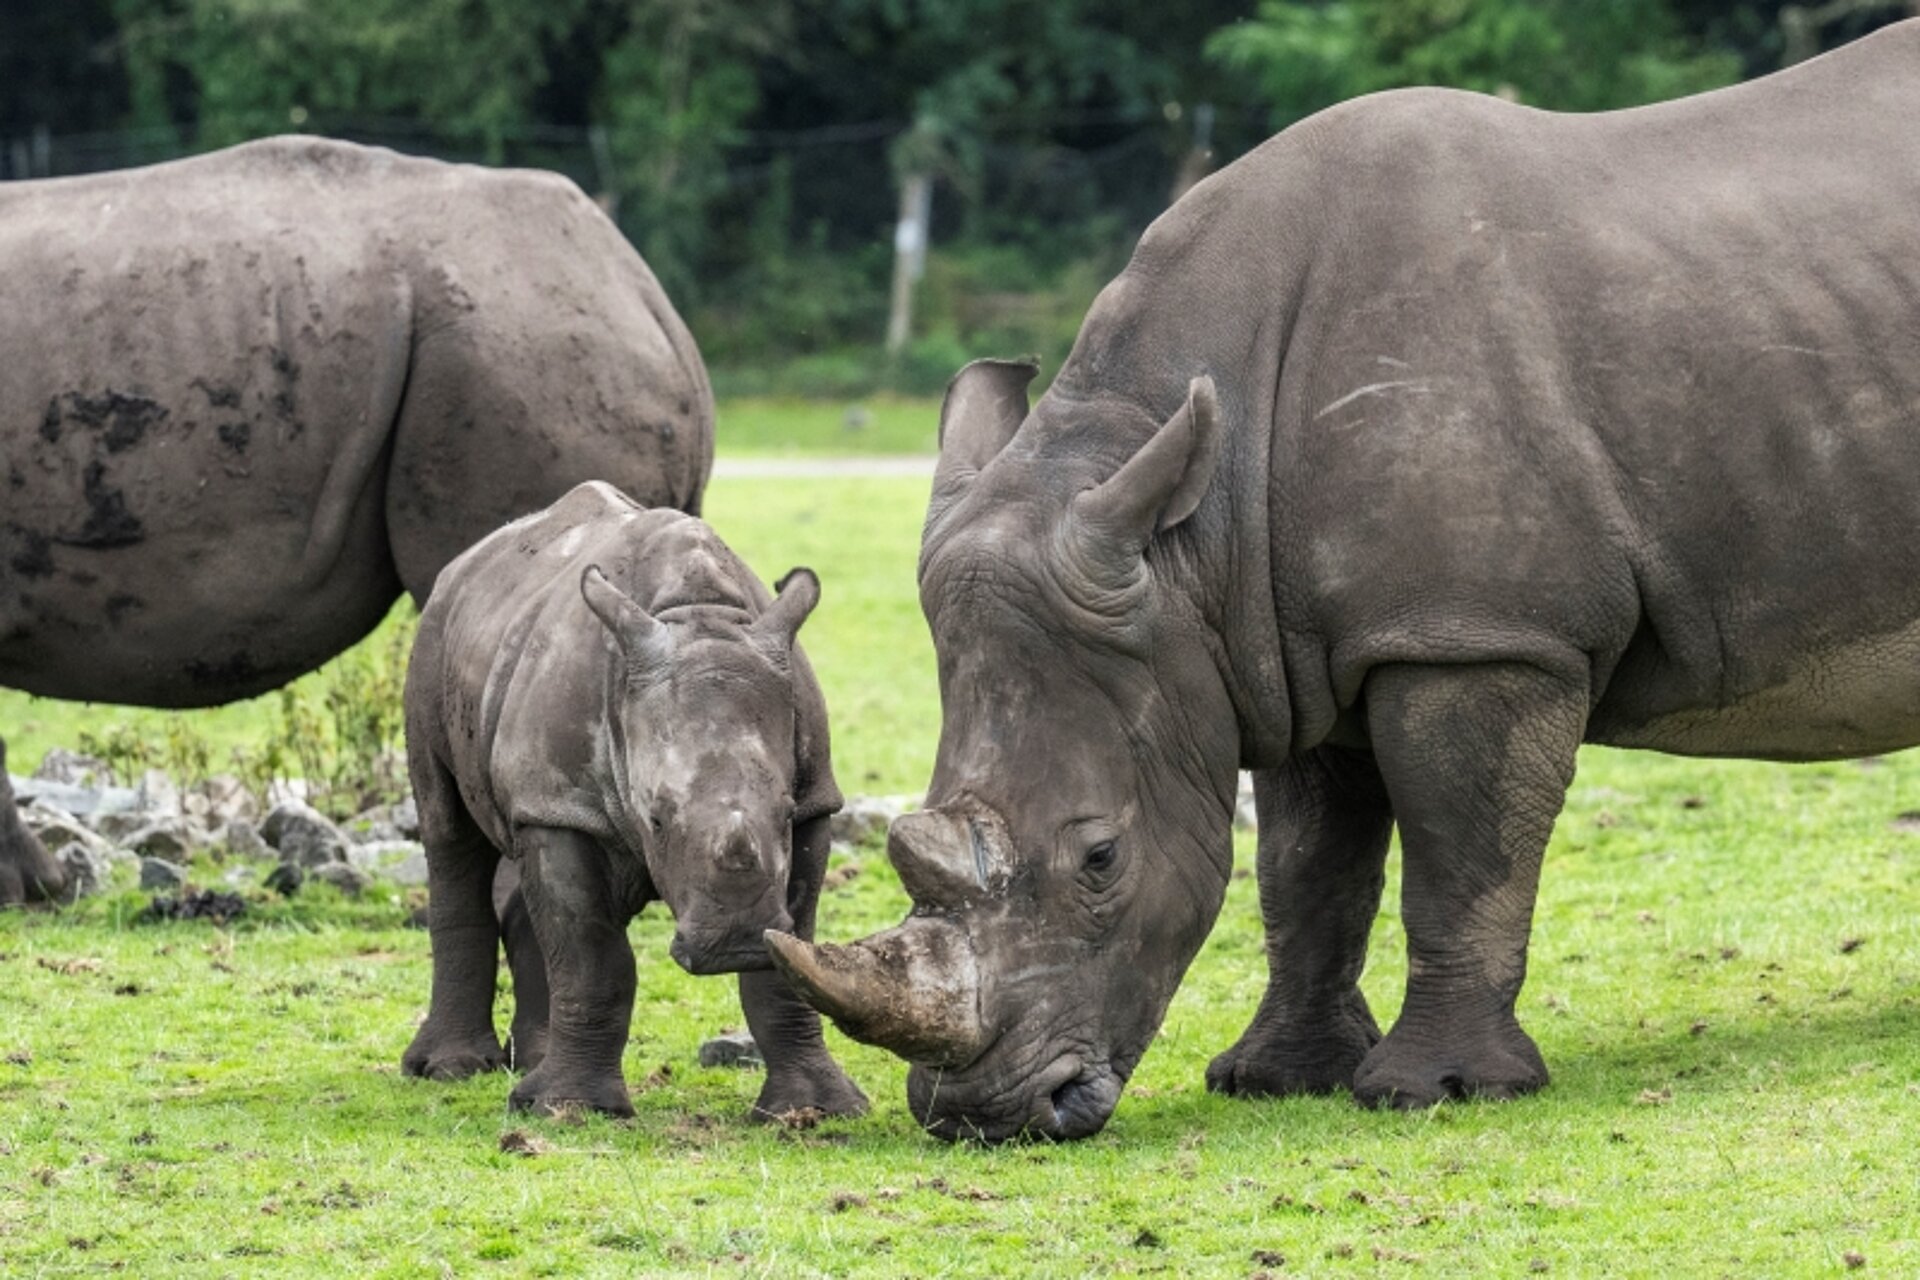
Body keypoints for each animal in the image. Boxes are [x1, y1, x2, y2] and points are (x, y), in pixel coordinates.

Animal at [403, 481, 866, 1121]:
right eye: (657, 818)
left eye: (784, 813)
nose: (735, 943)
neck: (697, 614)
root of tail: (467, 562)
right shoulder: (563, 805)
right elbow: (593, 958)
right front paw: (571, 1110)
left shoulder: (817, 800)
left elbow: (789, 959)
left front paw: (819, 1109)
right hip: (432, 641)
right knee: (449, 834)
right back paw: (450, 1070)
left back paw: (531, 1063)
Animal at [768, 23, 1920, 1140]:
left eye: (1100, 858)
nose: (983, 1117)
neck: (1191, 536)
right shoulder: (1269, 649)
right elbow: (1306, 873)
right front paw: (1276, 1079)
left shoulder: (1473, 633)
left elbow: (1461, 858)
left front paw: (1441, 1090)